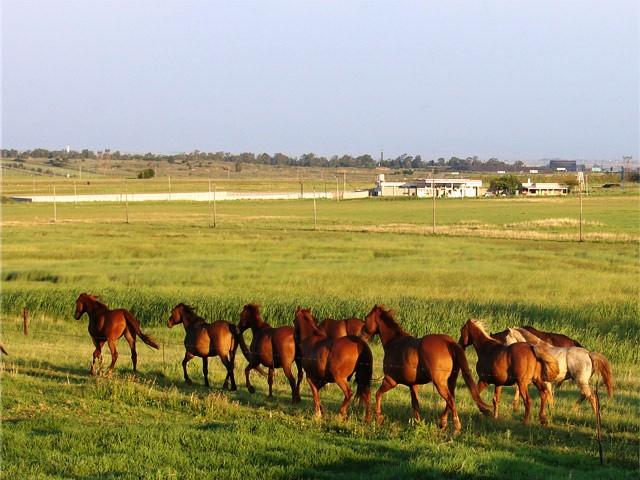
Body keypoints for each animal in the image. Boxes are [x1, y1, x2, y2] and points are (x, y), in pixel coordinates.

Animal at [360, 306, 490, 434]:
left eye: (366, 318)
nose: (361, 336)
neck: (394, 342)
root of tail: (449, 342)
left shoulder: (390, 380)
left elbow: (378, 394)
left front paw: (379, 417)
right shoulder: (413, 385)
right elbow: (415, 405)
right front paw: (418, 424)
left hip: (439, 383)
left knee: (450, 400)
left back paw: (456, 428)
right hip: (451, 380)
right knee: (450, 399)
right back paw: (443, 423)